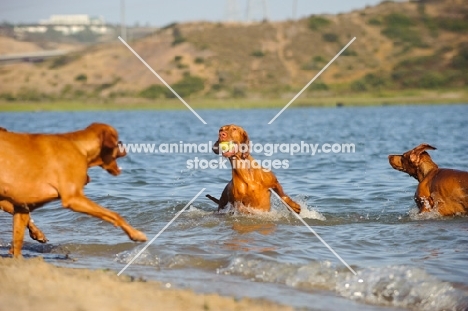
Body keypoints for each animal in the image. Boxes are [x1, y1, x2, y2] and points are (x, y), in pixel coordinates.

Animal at [0, 123, 146, 258]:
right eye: (117, 140)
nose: (125, 146)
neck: (80, 147)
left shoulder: (22, 206)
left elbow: (18, 241)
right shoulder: (74, 199)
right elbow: (114, 214)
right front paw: (136, 234)